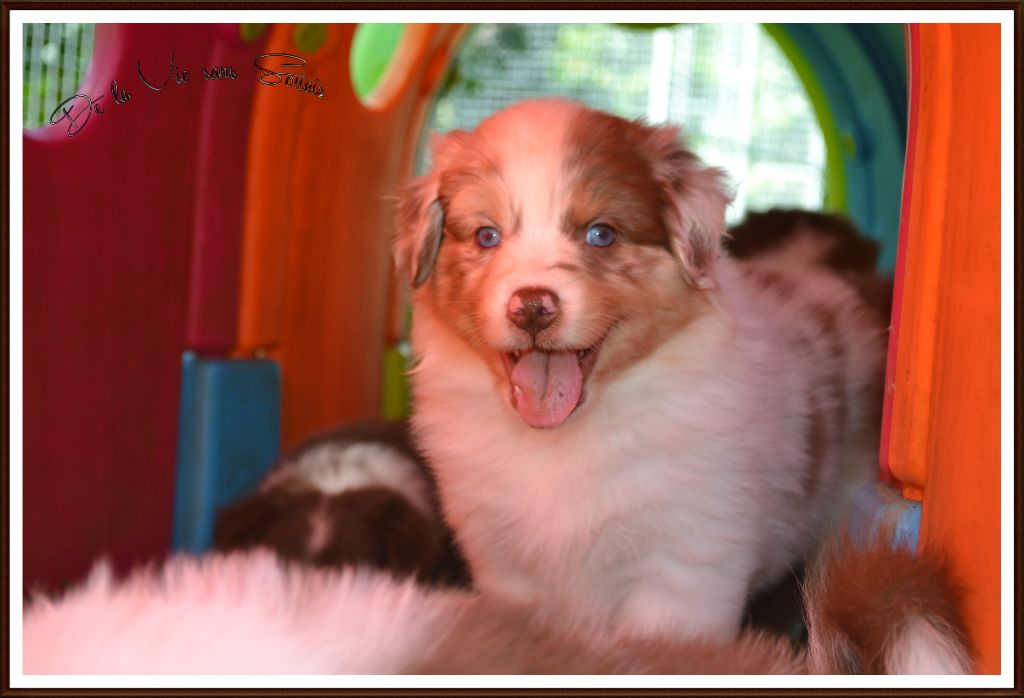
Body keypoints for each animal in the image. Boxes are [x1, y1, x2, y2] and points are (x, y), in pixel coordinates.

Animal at [395, 99, 887, 642]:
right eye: (487, 236)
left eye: (601, 234)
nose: (532, 308)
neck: (560, 442)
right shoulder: (502, 562)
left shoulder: (687, 559)